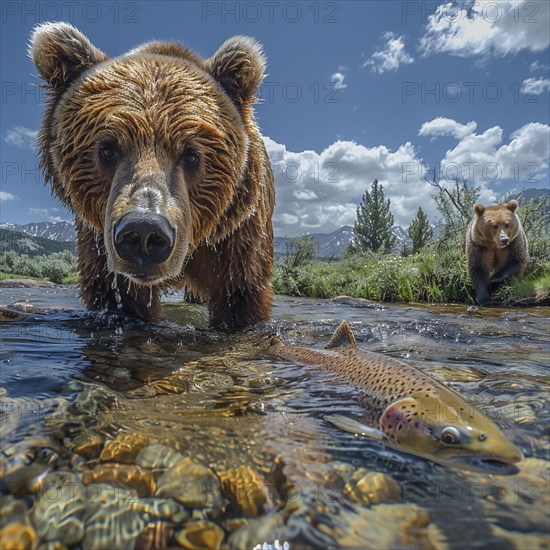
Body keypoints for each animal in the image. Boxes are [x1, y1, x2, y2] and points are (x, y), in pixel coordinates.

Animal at [30, 23, 276, 330]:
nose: (145, 230)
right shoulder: (98, 243)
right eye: (107, 149)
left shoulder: (236, 237)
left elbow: (240, 295)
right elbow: (121, 295)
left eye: (192, 154)